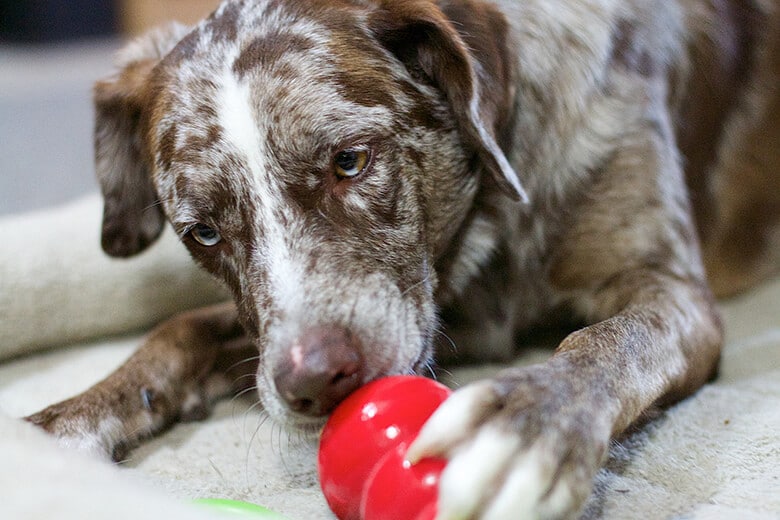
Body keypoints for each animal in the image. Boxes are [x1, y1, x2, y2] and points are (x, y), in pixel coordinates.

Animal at [27, 0, 776, 516]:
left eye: (350, 161)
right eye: (204, 232)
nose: (313, 382)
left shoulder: (670, 287)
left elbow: (609, 338)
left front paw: (527, 419)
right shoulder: (431, 313)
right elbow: (179, 330)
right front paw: (60, 427)